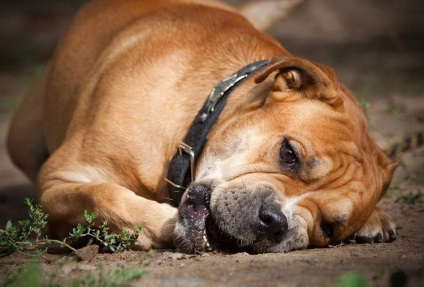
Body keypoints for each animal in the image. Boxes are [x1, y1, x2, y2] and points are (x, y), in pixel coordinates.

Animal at [6, 0, 398, 253]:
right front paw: (151, 223)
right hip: (20, 140)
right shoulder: (56, 179)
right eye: (289, 153)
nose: (275, 221)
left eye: (329, 228)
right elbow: (102, 194)